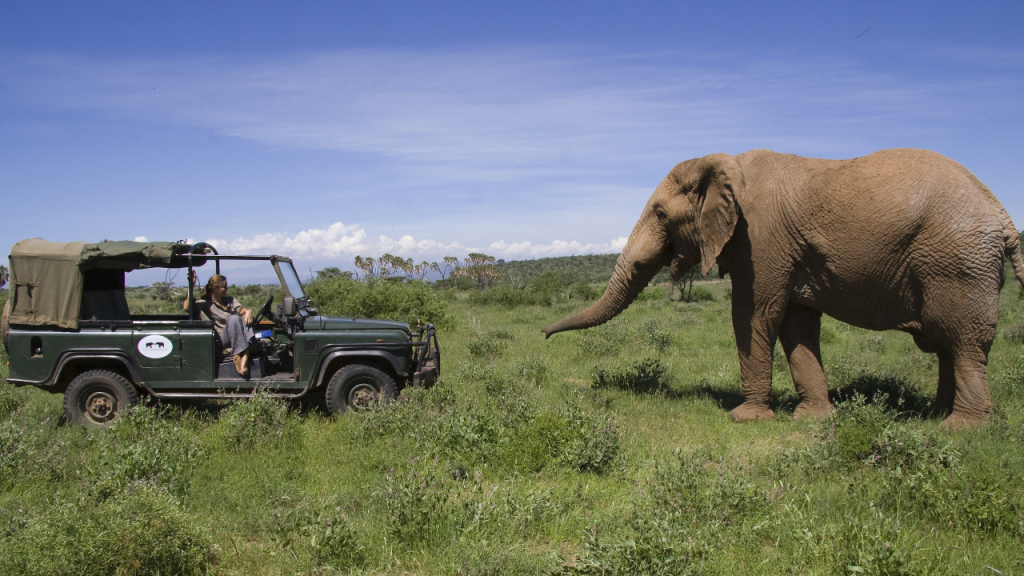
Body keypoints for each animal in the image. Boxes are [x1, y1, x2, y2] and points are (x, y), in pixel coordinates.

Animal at [544, 147, 1024, 426]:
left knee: (963, 339)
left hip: (958, 262)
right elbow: (797, 324)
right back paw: (935, 414)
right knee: (947, 344)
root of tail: (1002, 214)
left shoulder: (762, 239)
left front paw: (746, 419)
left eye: (661, 214)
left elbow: (753, 314)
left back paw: (962, 427)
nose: (545, 335)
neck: (725, 164)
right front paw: (813, 419)